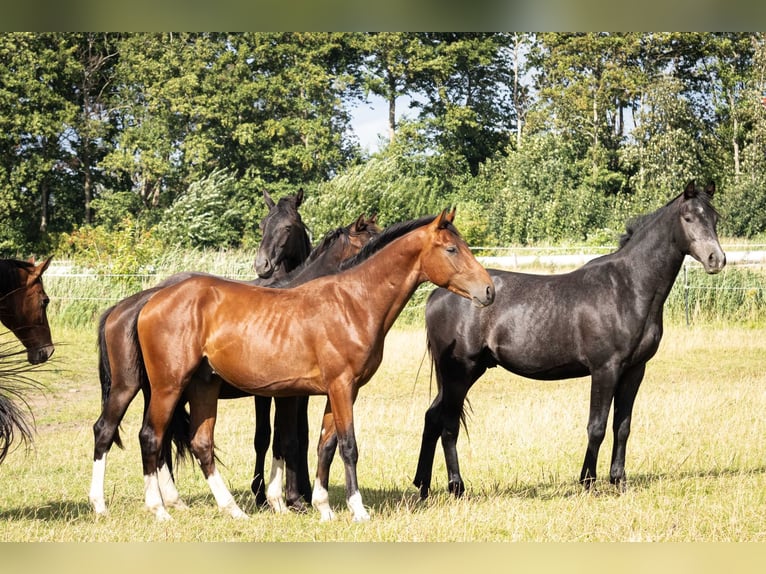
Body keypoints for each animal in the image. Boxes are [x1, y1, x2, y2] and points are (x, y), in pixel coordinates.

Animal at [88, 214, 380, 516]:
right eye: (371, 238)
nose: (263, 264)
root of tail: (128, 307)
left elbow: (285, 438)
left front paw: (283, 496)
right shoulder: (286, 394)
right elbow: (284, 439)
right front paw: (286, 498)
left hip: (159, 389)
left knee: (159, 438)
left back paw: (173, 500)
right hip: (129, 386)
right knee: (107, 430)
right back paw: (104, 504)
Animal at [133, 209, 494, 522]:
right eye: (451, 249)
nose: (489, 291)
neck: (353, 303)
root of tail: (151, 301)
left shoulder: (339, 391)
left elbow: (325, 446)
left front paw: (323, 508)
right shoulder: (341, 387)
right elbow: (347, 446)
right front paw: (357, 510)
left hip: (203, 386)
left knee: (201, 443)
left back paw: (233, 510)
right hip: (168, 387)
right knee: (151, 437)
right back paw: (160, 509)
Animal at [412, 181, 726, 500]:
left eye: (714, 218)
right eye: (688, 218)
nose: (717, 259)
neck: (627, 287)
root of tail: (438, 293)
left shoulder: (634, 370)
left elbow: (622, 426)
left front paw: (619, 481)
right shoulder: (605, 369)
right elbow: (597, 426)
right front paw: (588, 482)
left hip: (464, 373)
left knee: (432, 418)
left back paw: (423, 485)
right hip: (459, 373)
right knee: (448, 425)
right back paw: (457, 487)